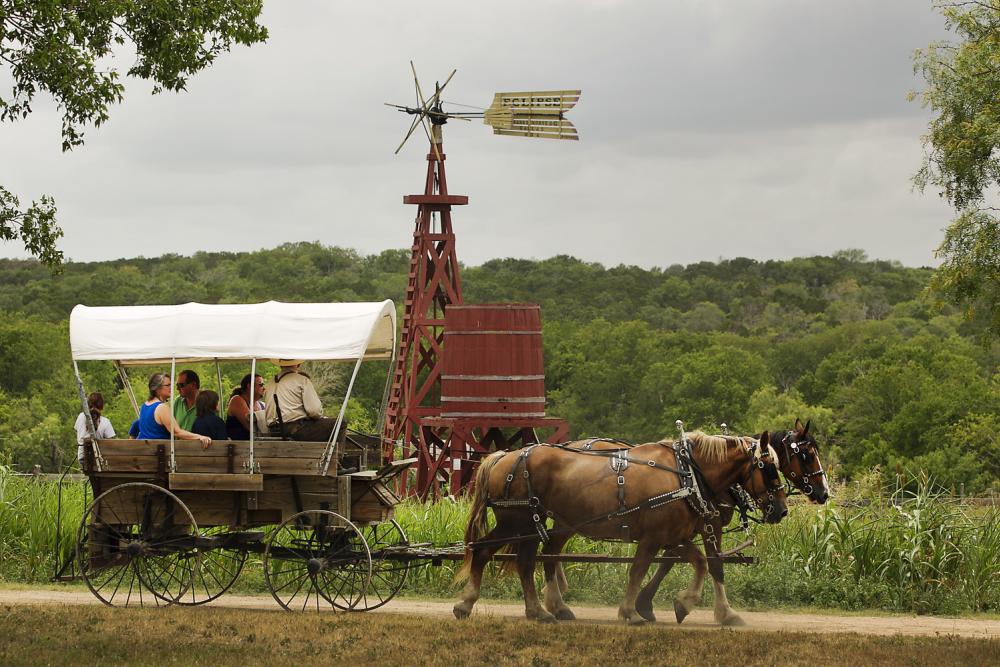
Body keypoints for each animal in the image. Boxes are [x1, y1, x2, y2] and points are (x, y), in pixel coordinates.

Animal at [456, 434, 788, 628]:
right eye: (769, 467)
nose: (782, 510)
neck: (687, 474)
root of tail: (504, 457)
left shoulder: (676, 536)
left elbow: (703, 563)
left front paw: (684, 604)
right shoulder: (654, 537)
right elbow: (639, 570)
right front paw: (631, 611)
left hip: (537, 525)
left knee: (529, 561)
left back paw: (542, 610)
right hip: (516, 522)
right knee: (485, 551)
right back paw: (467, 603)